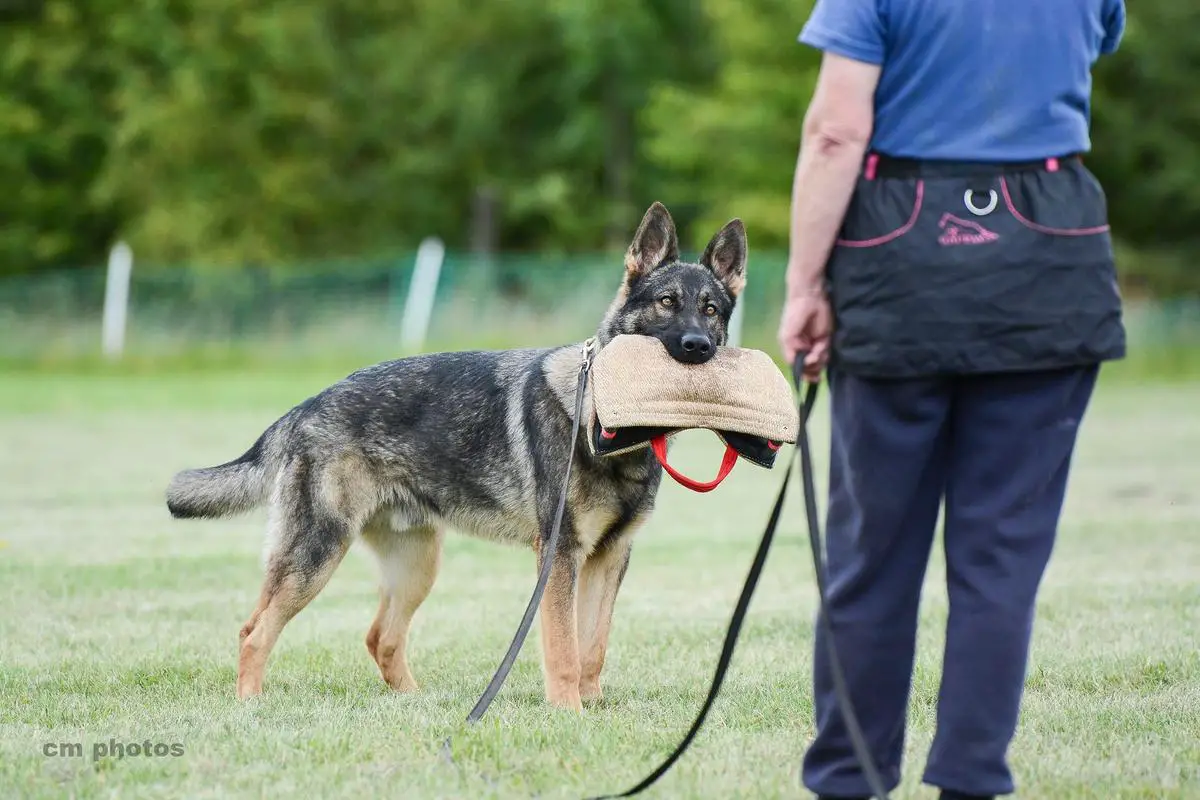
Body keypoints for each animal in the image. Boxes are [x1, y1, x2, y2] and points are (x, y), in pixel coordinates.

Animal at [164, 203, 744, 710]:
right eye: (666, 302)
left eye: (711, 310)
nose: (697, 346)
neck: (605, 420)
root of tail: (307, 406)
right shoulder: (560, 557)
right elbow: (563, 648)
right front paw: (569, 712)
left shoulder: (609, 557)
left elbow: (593, 647)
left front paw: (593, 706)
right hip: (317, 554)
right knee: (255, 630)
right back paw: (250, 704)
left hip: (416, 564)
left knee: (380, 637)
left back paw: (417, 703)